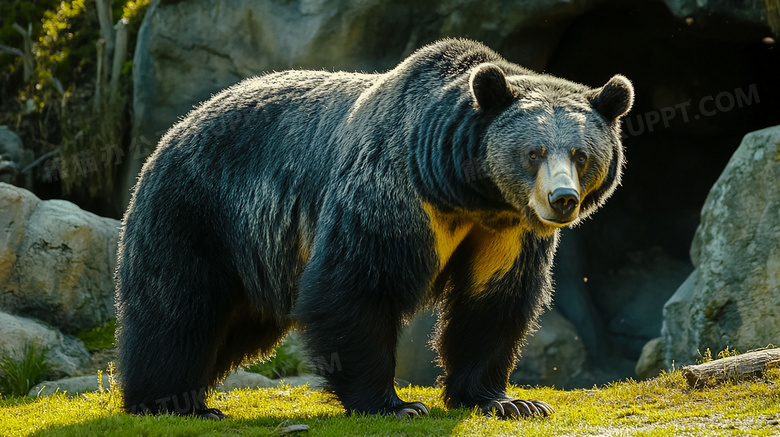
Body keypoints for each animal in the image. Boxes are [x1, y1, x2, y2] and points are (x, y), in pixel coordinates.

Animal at [116, 38, 632, 418]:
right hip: (199, 212)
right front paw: (396, 404)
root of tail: (177, 126)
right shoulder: (394, 192)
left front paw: (509, 401)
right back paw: (170, 402)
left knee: (238, 324)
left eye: (581, 155)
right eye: (534, 152)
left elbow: (494, 301)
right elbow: (357, 285)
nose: (561, 200)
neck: (467, 192)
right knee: (178, 308)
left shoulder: (507, 231)